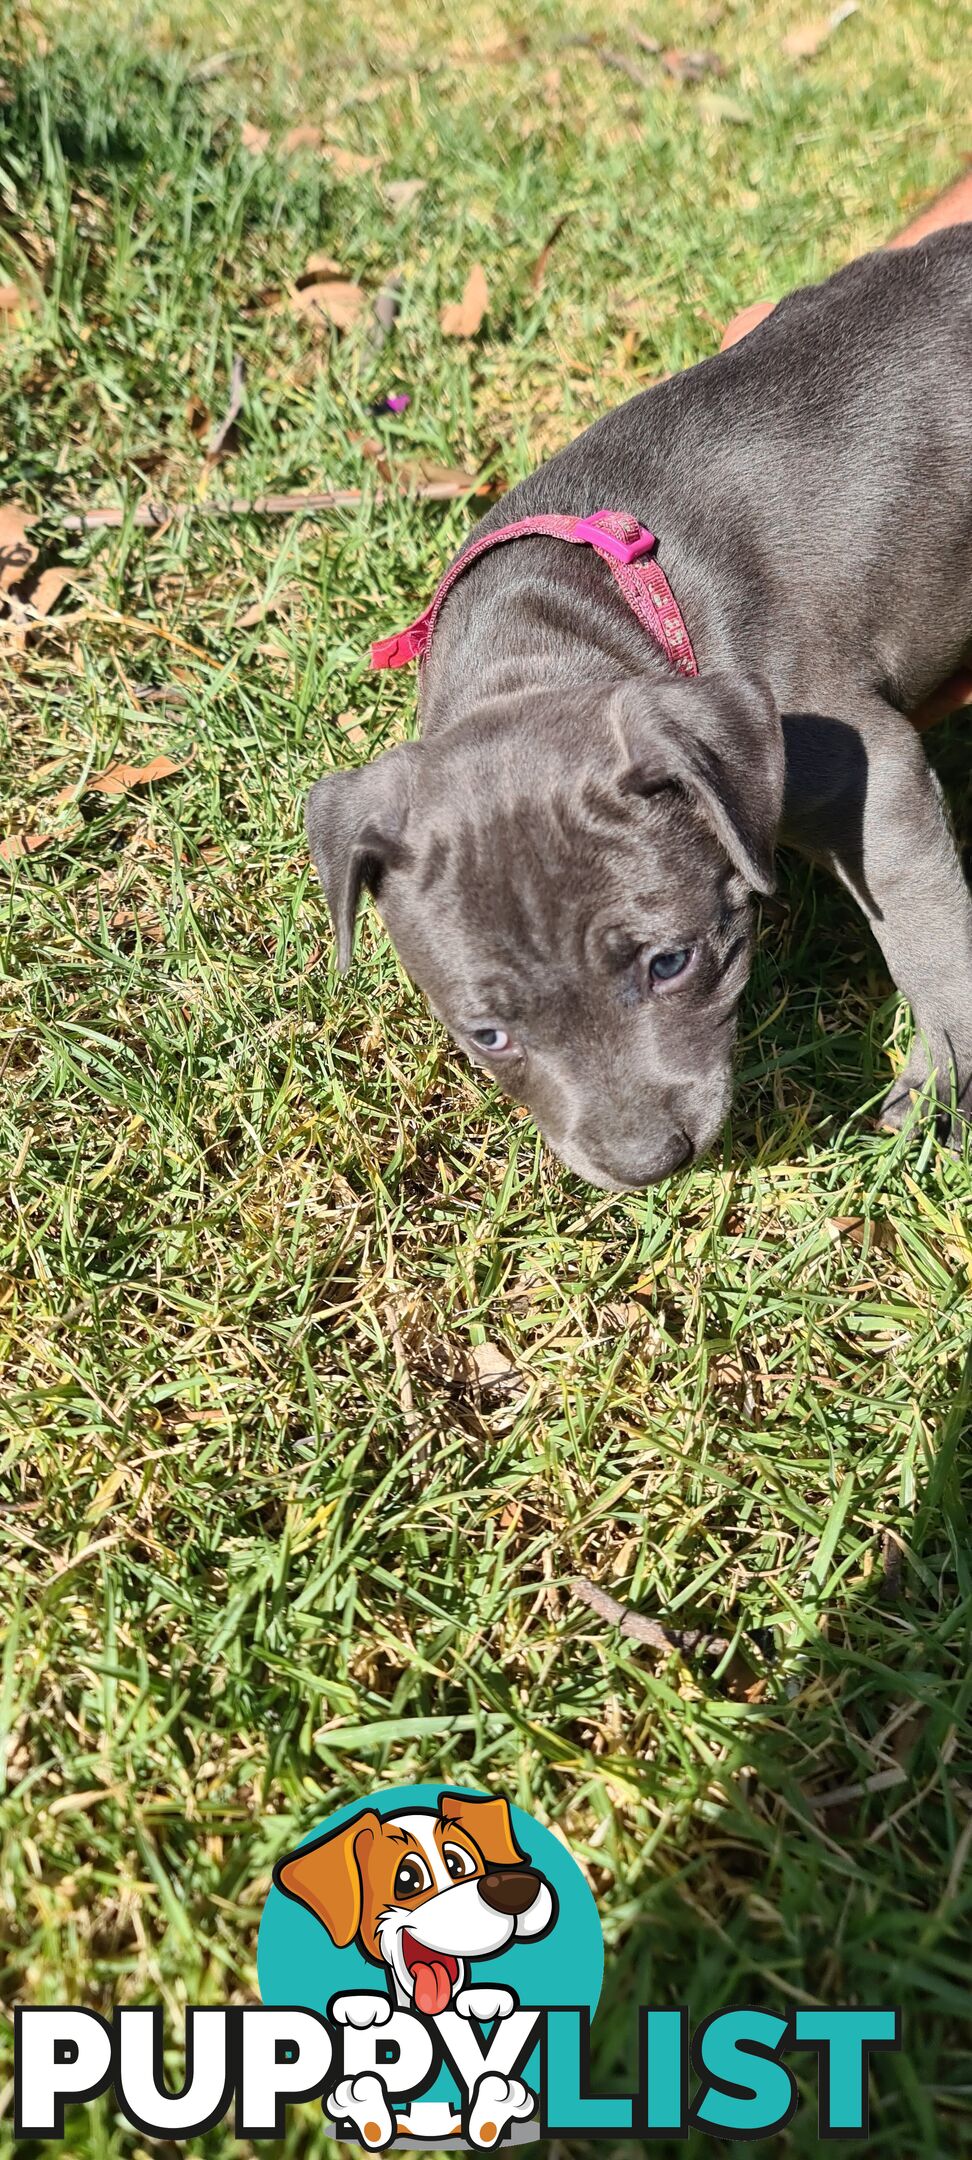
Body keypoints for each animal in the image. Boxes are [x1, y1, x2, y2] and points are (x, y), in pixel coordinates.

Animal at [306, 232, 972, 1200]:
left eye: (671, 963)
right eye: (487, 1035)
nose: (646, 1163)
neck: (576, 617)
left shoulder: (871, 774)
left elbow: (928, 934)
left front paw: (941, 1090)